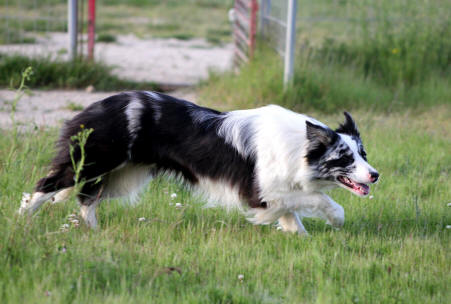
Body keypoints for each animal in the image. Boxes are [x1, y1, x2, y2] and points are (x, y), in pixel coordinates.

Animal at [18, 91, 378, 234]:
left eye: (363, 154)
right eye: (345, 158)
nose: (375, 175)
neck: (301, 143)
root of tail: (93, 107)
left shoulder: (274, 192)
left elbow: (292, 216)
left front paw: (300, 238)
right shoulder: (259, 190)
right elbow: (318, 198)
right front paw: (336, 218)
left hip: (122, 176)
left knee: (86, 199)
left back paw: (93, 232)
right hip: (94, 163)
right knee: (46, 185)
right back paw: (22, 220)